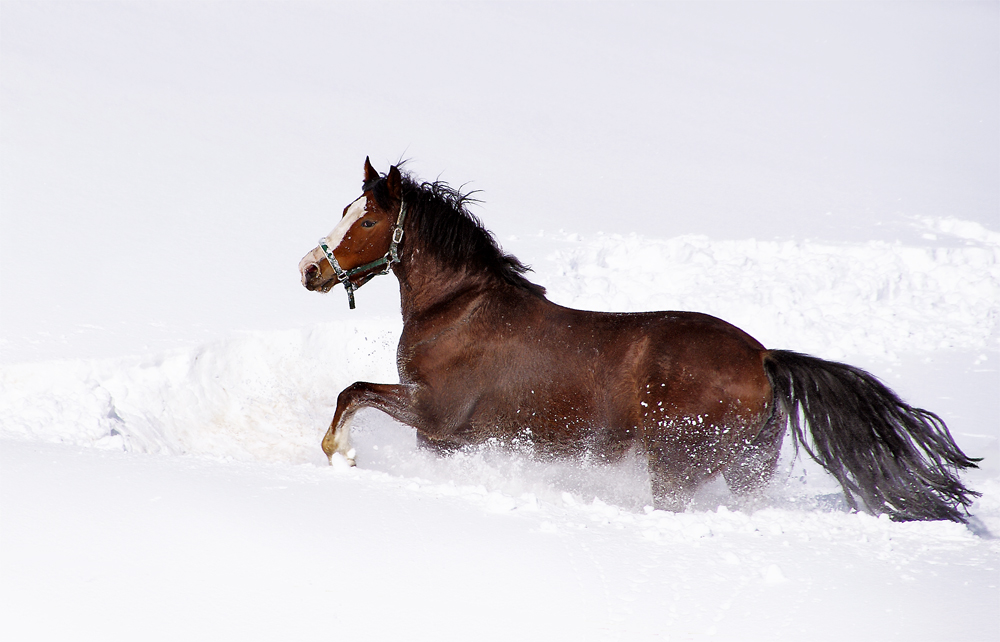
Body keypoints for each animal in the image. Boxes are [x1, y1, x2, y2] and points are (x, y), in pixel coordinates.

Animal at [298, 158, 984, 524]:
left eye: (366, 219)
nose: (308, 269)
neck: (459, 309)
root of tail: (763, 358)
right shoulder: (448, 439)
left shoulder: (434, 412)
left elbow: (351, 392)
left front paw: (341, 455)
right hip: (745, 469)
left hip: (678, 466)